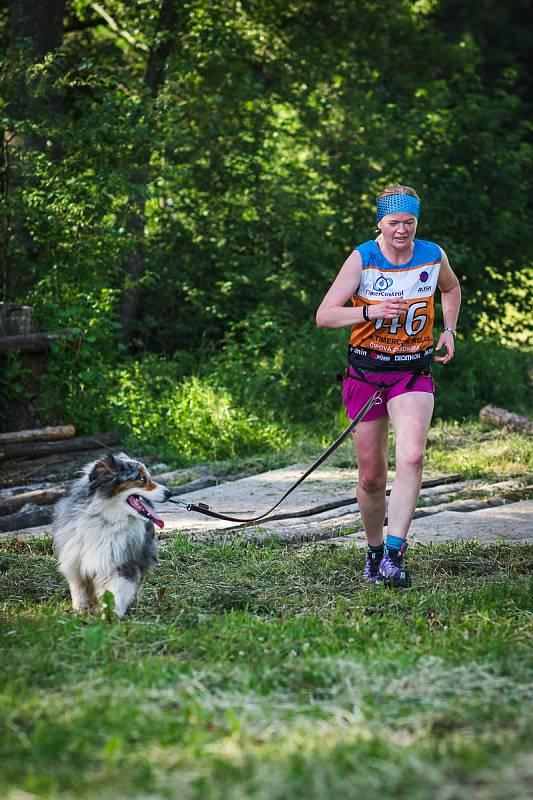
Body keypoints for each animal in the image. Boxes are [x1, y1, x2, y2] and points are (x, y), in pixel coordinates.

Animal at [52, 450, 170, 620]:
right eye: (142, 478)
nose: (170, 493)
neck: (106, 518)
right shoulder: (75, 561)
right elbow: (79, 588)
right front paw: (81, 609)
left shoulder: (119, 561)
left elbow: (116, 591)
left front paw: (111, 614)